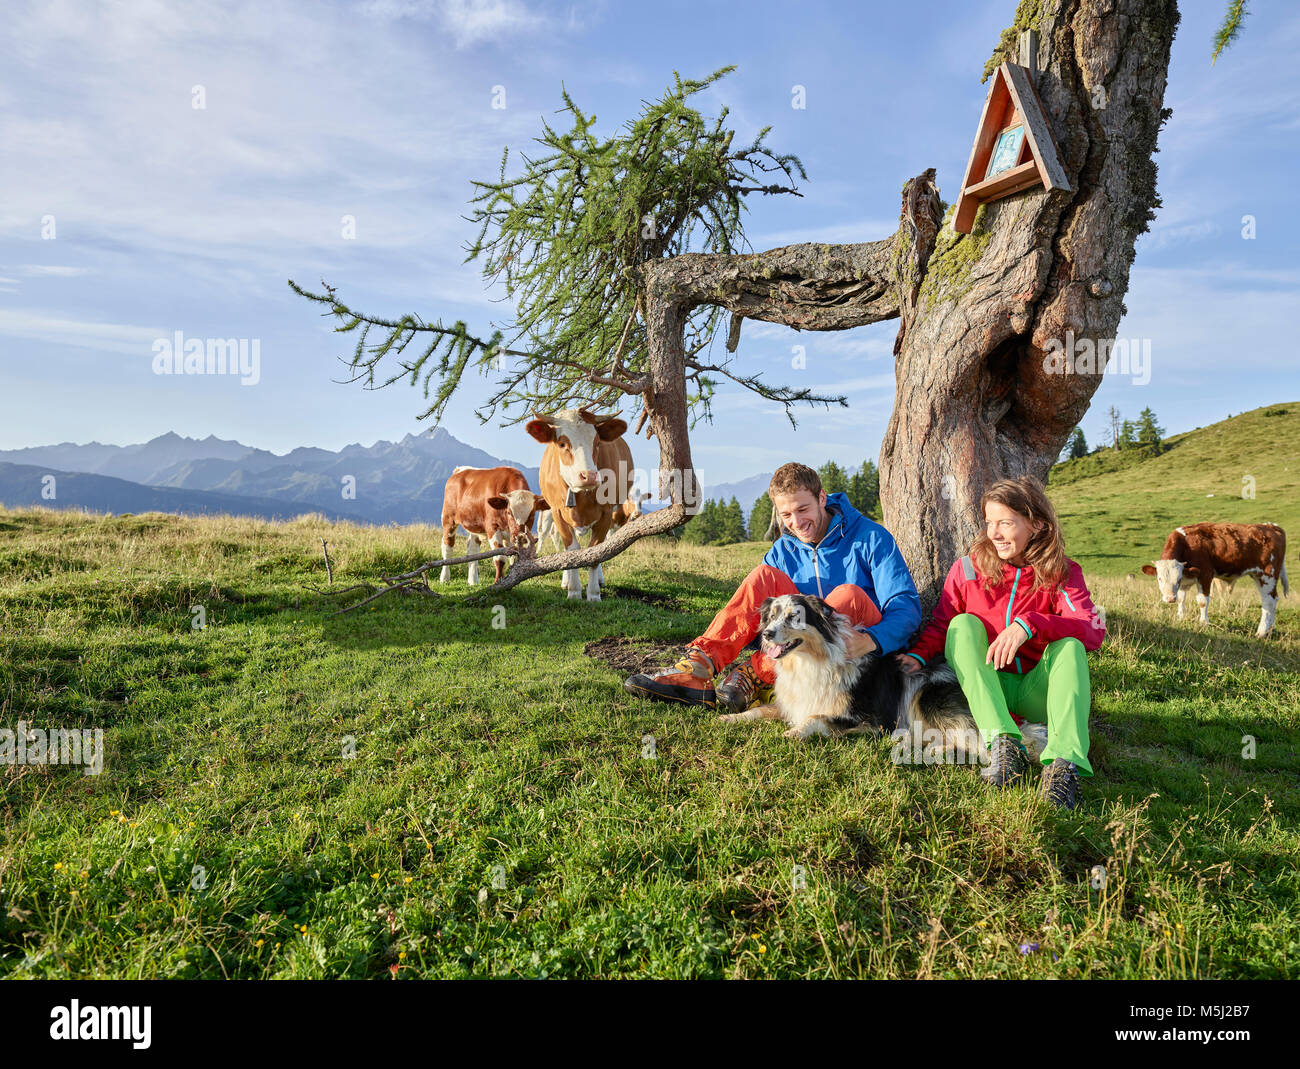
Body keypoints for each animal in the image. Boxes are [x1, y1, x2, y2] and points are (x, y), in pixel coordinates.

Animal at [525, 405, 631, 598]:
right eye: (562, 444)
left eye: (597, 443)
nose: (589, 476)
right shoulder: (558, 512)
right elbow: (571, 551)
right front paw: (574, 591)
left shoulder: (606, 513)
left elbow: (596, 551)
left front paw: (594, 594)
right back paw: (566, 581)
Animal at [722, 595, 1045, 769]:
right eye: (772, 616)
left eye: (794, 617)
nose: (766, 634)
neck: (808, 661)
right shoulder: (792, 703)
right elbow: (760, 710)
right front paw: (730, 718)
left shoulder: (865, 716)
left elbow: (816, 719)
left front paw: (794, 733)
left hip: (928, 697)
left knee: (981, 747)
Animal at [1144, 522, 1284, 639]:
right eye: (1159, 578)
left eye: (1177, 579)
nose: (1169, 599)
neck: (1186, 544)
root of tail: (1270, 526)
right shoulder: (1186, 578)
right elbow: (1181, 599)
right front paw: (1180, 618)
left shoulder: (1205, 574)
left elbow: (1202, 601)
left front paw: (1203, 623)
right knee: (1273, 601)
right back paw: (1270, 629)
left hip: (1267, 575)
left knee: (1269, 601)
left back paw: (1261, 632)